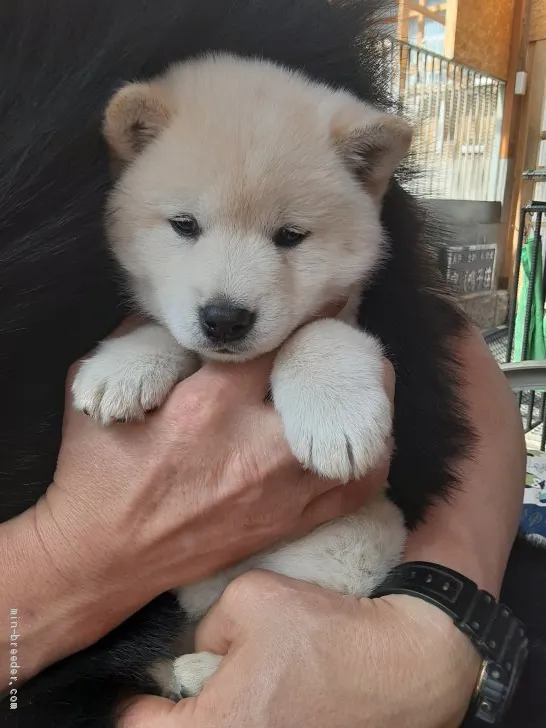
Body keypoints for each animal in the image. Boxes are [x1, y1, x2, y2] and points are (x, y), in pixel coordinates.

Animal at [73, 54, 412, 696]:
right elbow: (165, 329)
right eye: (184, 224)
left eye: (290, 236)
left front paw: (335, 417)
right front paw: (123, 367)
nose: (226, 318)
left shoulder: (341, 316)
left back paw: (196, 671)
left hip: (355, 540)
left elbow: (315, 334)